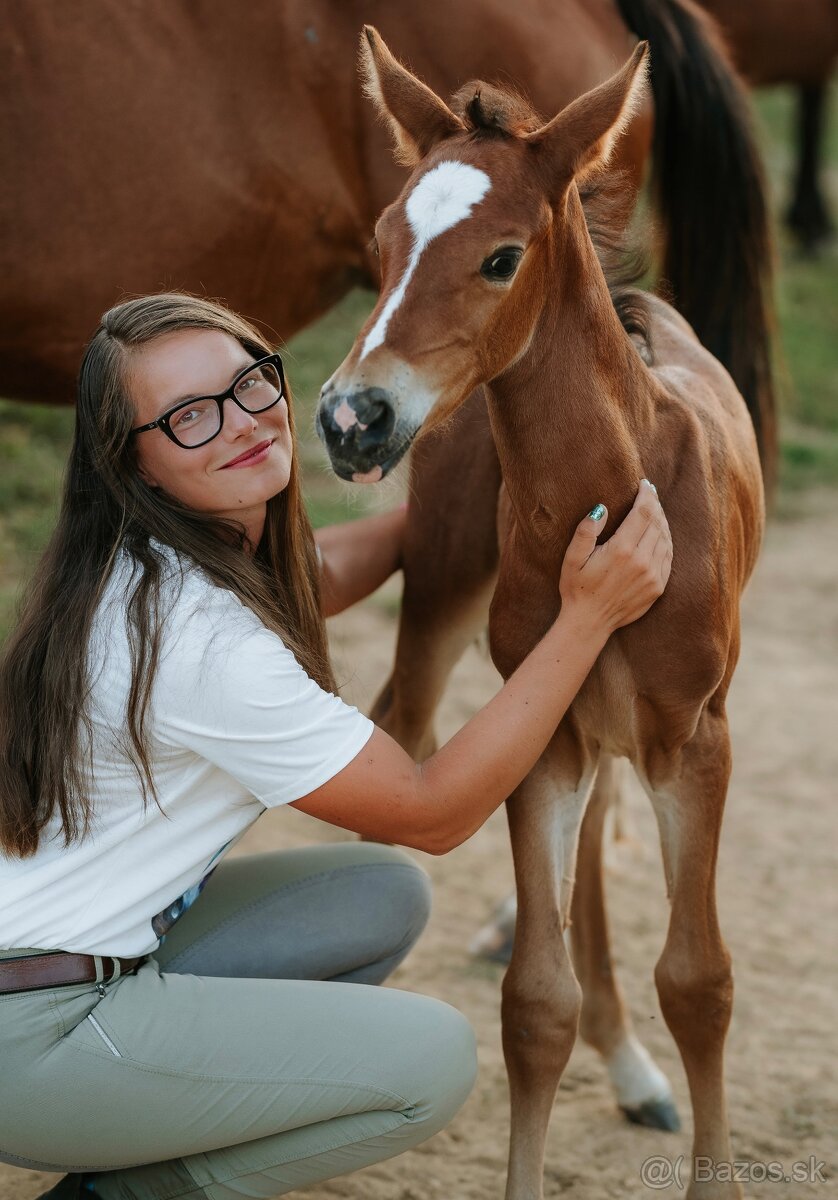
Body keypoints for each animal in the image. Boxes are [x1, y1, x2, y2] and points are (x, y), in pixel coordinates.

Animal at [316, 28, 768, 1200]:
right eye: (382, 241)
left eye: (501, 257)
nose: (351, 417)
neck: (612, 496)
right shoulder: (546, 734)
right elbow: (533, 1006)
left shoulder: (695, 740)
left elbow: (699, 980)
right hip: (444, 607)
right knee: (409, 733)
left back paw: (637, 1072)